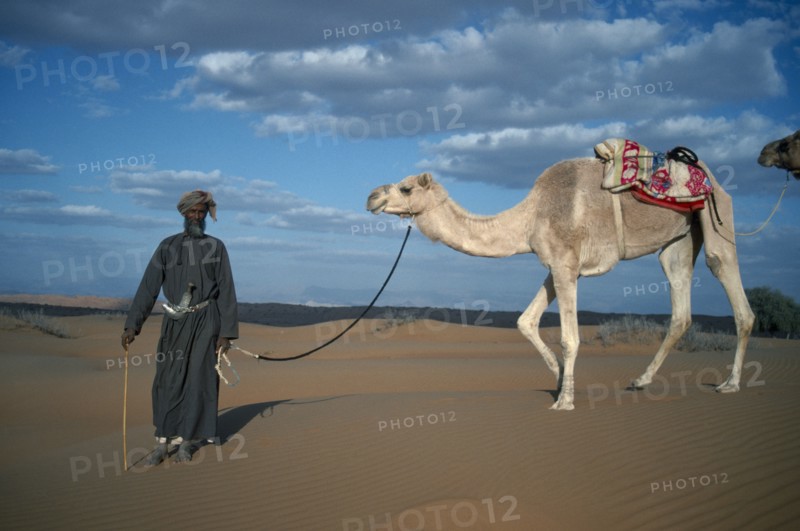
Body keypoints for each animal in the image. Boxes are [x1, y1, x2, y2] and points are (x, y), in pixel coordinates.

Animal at [366, 156, 754, 410]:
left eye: (405, 187)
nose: (372, 197)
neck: (529, 217)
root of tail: (713, 179)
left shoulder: (566, 264)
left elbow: (570, 337)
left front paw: (564, 400)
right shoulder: (556, 265)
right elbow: (525, 321)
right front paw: (557, 380)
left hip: (716, 215)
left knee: (727, 276)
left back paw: (731, 383)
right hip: (679, 239)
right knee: (680, 304)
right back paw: (641, 381)